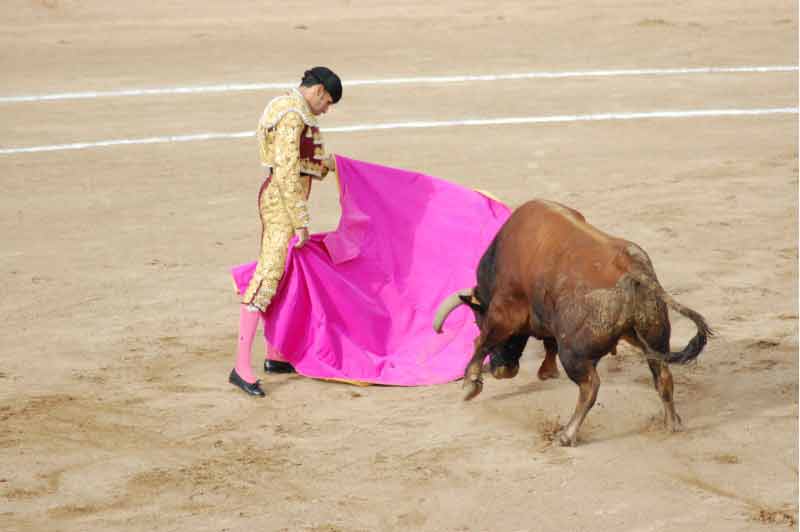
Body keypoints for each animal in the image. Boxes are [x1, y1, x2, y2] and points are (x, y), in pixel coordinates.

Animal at [434, 200, 708, 444]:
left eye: (477, 320)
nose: (503, 370)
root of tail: (633, 269)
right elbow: (547, 342)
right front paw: (546, 371)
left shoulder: (504, 311)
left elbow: (484, 341)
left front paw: (469, 386)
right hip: (654, 339)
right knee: (663, 377)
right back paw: (672, 423)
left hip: (574, 353)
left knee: (590, 386)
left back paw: (567, 434)